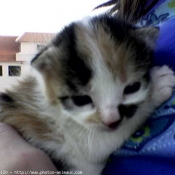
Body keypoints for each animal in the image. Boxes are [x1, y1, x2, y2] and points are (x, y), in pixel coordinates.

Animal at [0, 15, 175, 175]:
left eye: (132, 88)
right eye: (81, 99)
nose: (112, 121)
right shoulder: (73, 141)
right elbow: (97, 146)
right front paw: (158, 85)